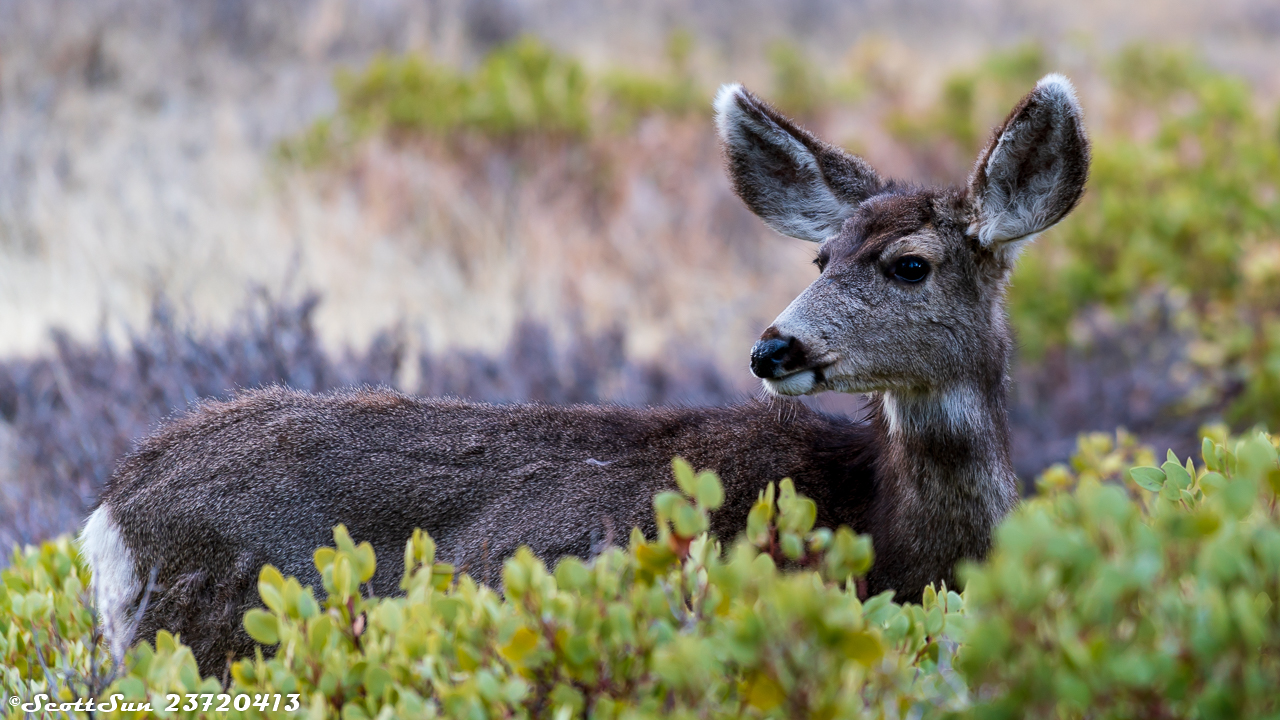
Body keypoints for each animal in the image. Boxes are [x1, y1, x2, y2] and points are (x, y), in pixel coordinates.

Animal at [80, 74, 1085, 671]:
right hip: (211, 639)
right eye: (820, 258)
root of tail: (113, 508)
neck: (888, 534)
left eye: (909, 264)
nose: (774, 349)